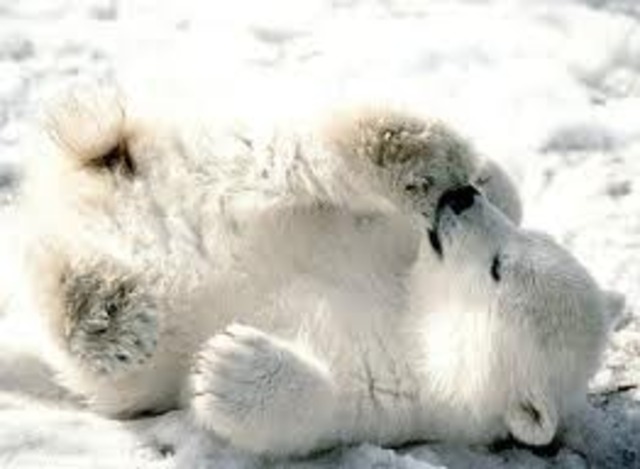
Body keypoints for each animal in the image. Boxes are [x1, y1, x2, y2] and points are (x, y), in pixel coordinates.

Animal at [18, 81, 607, 458]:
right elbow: (499, 194)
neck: (413, 310)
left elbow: (313, 413)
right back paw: (413, 151)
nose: (458, 200)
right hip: (218, 161)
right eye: (519, 244)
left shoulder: (403, 397)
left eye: (498, 269)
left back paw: (103, 312)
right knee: (290, 159)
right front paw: (479, 176)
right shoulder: (392, 242)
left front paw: (228, 365)